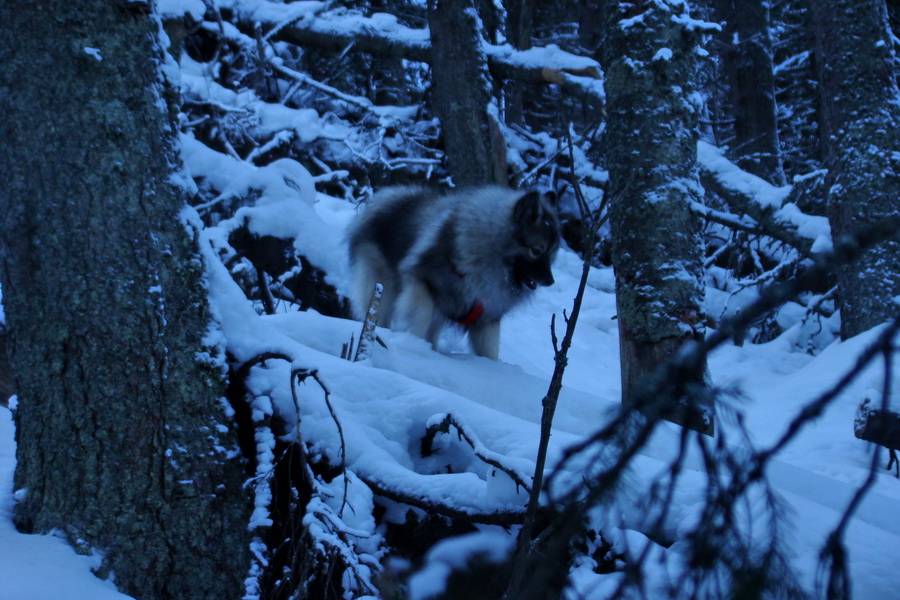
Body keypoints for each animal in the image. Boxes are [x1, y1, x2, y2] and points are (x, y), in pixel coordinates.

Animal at [348, 185, 560, 358]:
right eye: (536, 251)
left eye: (551, 252)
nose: (550, 280)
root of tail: (388, 200)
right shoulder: (422, 281)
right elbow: (421, 313)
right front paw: (413, 343)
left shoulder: (487, 318)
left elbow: (490, 351)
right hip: (383, 289)